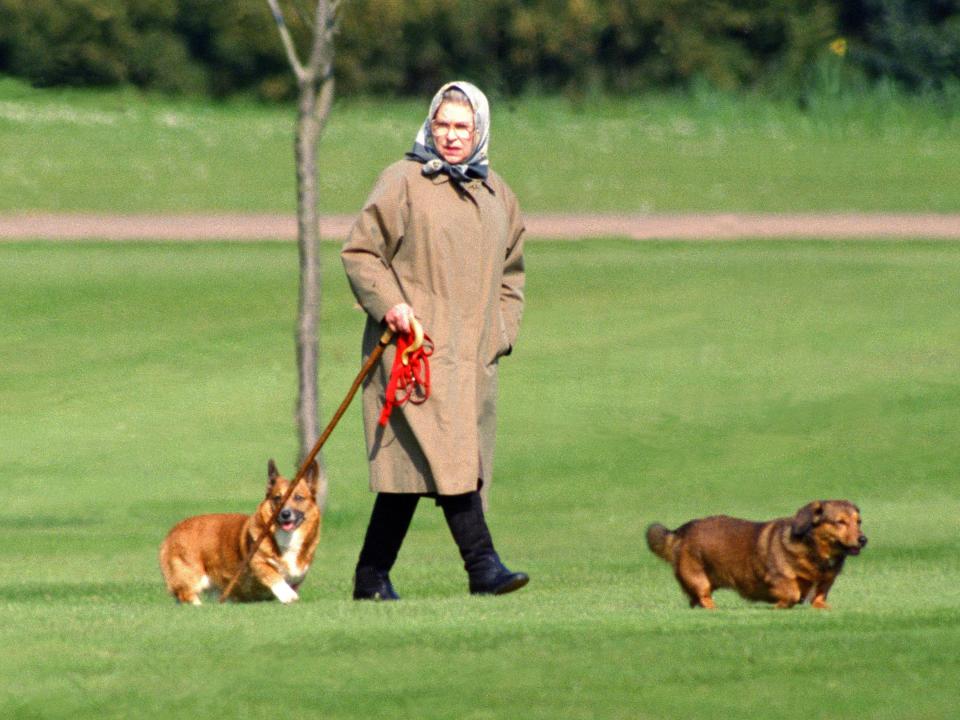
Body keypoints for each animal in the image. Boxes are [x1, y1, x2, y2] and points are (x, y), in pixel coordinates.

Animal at [159, 462, 320, 600]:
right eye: (277, 498)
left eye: (298, 497)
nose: (285, 514)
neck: (288, 538)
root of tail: (172, 532)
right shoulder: (257, 563)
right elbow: (273, 575)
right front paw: (288, 595)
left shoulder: (298, 575)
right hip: (193, 576)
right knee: (186, 595)